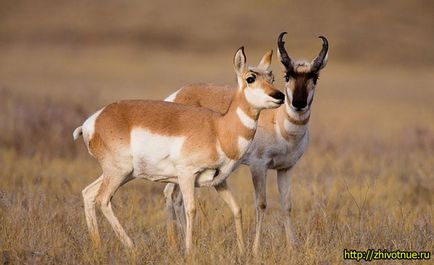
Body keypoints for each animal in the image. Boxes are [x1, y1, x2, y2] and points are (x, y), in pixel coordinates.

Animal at [72, 47, 284, 252]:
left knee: (88, 194)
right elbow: (191, 209)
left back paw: (98, 247)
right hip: (119, 172)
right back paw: (131, 246)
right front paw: (189, 251)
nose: (280, 96)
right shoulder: (186, 175)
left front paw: (242, 252)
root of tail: (93, 121)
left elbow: (236, 208)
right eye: (250, 78)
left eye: (272, 77)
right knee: (102, 199)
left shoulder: (219, 181)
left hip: (124, 174)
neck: (218, 128)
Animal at [164, 33, 328, 254]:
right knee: (170, 195)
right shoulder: (259, 166)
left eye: (314, 77)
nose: (298, 104)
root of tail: (177, 95)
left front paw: (292, 246)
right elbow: (261, 204)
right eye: (287, 76)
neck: (278, 122)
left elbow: (287, 204)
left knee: (175, 197)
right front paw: (255, 249)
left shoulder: (285, 168)